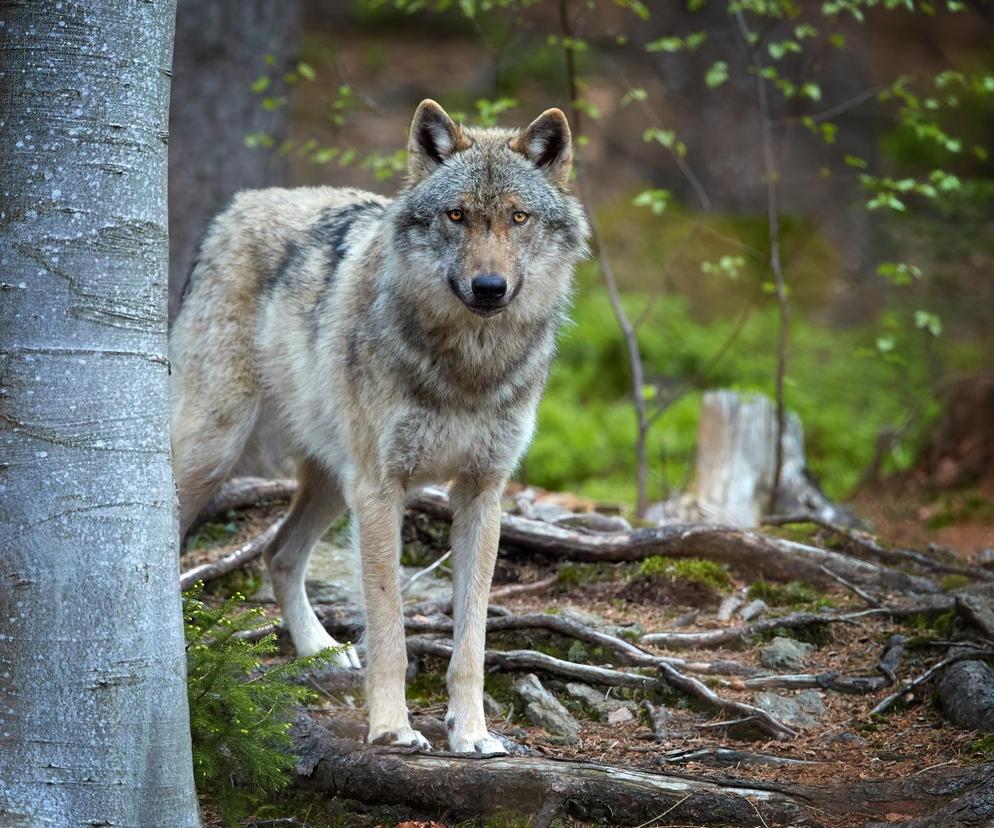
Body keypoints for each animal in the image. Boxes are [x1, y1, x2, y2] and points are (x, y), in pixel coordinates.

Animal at [170, 100, 588, 752]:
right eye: (457, 215)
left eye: (518, 217)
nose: (489, 288)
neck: (468, 366)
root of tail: (237, 204)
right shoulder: (381, 488)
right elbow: (390, 626)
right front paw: (392, 728)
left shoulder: (483, 492)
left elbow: (473, 638)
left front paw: (472, 733)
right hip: (217, 448)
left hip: (331, 481)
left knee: (278, 553)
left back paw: (320, 649)